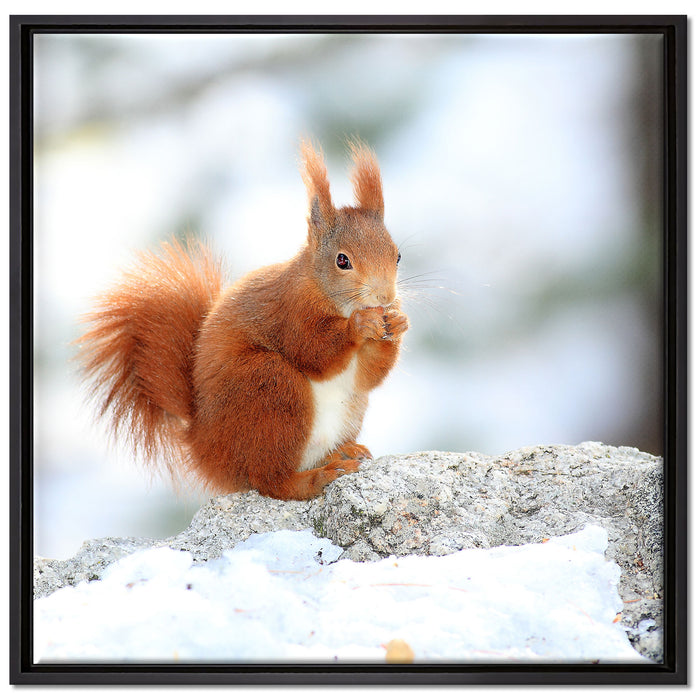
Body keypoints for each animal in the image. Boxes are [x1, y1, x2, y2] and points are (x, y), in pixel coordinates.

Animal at [75, 138, 408, 500]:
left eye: (397, 255)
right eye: (342, 260)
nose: (385, 297)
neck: (328, 294)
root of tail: (203, 447)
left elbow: (368, 377)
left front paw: (398, 323)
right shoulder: (289, 312)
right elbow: (314, 352)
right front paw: (359, 326)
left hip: (345, 409)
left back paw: (343, 452)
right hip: (269, 388)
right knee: (271, 480)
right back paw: (316, 477)